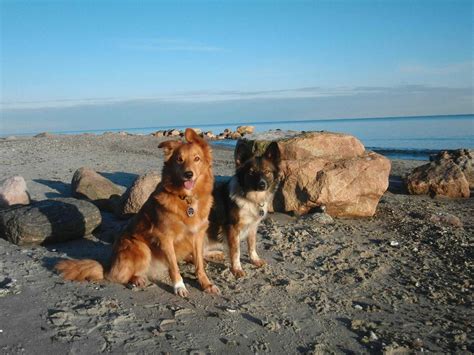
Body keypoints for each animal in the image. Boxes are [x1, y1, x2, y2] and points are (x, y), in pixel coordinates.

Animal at [56, 128, 219, 298]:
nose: (188, 174)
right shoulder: (165, 238)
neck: (186, 199)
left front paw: (206, 284)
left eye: (197, 158)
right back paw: (137, 279)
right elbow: (174, 267)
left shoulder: (198, 235)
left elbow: (200, 265)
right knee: (118, 276)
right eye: (179, 160)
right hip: (141, 248)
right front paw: (179, 286)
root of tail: (108, 266)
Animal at [206, 142, 280, 278]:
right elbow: (236, 251)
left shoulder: (253, 226)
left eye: (267, 171)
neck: (250, 198)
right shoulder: (232, 228)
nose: (262, 185)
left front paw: (255, 260)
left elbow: (252, 245)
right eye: (251, 172)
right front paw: (237, 269)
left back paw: (215, 253)